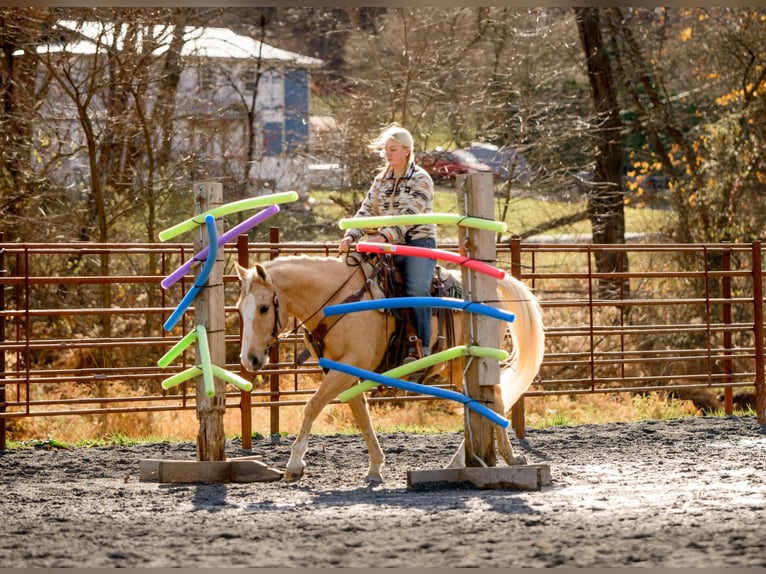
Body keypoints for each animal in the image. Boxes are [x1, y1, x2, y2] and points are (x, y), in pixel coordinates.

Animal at [237, 254, 544, 484]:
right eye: (240, 309)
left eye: (264, 308)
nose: (249, 359)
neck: (337, 301)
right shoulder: (347, 373)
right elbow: (362, 416)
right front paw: (375, 467)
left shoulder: (347, 367)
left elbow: (312, 406)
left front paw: (294, 464)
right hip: (458, 369)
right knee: (488, 400)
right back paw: (465, 461)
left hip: (467, 364)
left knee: (495, 398)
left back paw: (504, 457)